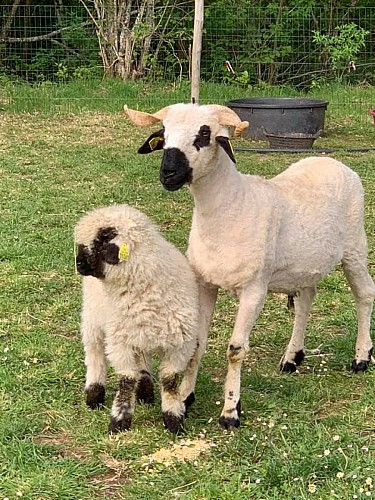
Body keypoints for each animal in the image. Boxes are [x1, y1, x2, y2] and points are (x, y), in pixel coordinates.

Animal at [74, 203, 201, 434]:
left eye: (97, 244)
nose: (78, 265)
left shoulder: (181, 344)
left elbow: (169, 380)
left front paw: (173, 419)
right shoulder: (120, 343)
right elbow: (126, 381)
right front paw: (119, 421)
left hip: (137, 333)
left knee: (141, 359)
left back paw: (145, 392)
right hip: (92, 319)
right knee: (95, 356)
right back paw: (94, 395)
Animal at [125, 101, 375, 430]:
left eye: (204, 134)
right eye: (163, 134)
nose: (168, 173)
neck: (232, 206)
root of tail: (332, 161)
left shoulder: (254, 290)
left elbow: (235, 351)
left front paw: (231, 411)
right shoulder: (205, 284)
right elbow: (197, 344)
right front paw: (186, 397)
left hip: (355, 247)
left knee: (365, 294)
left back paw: (361, 357)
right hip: (304, 265)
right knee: (306, 300)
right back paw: (292, 357)